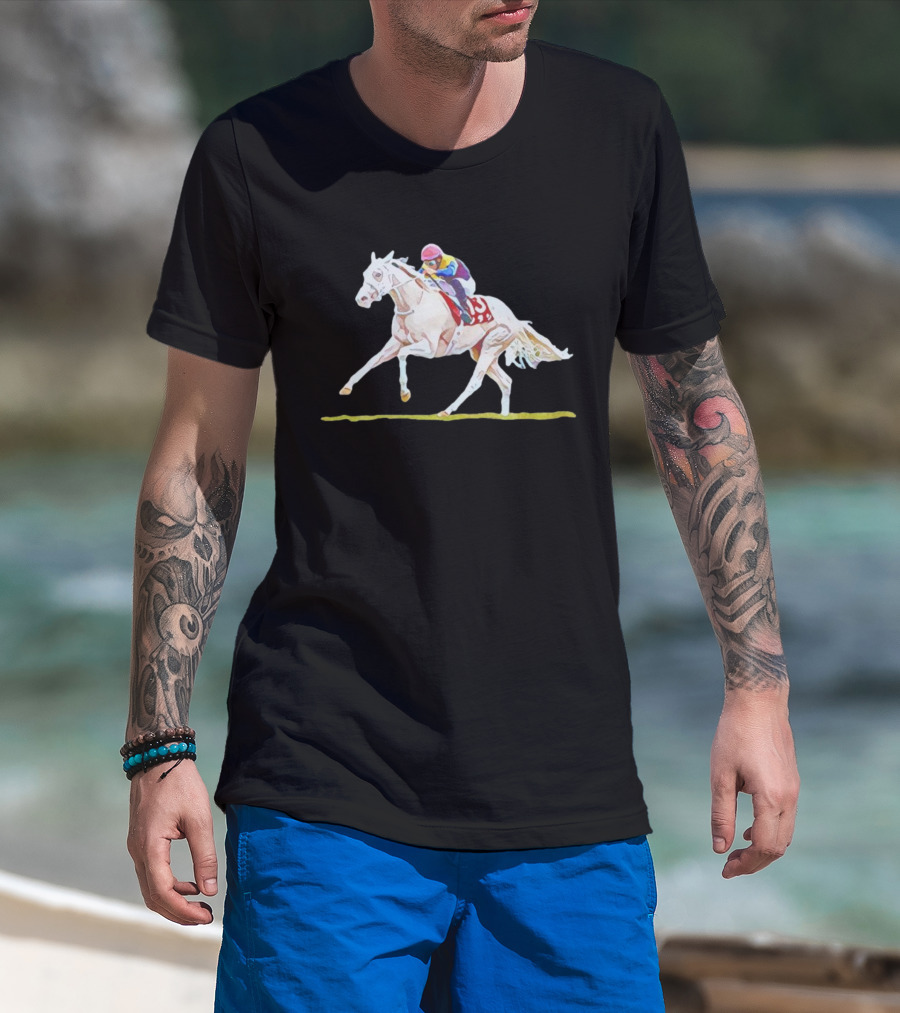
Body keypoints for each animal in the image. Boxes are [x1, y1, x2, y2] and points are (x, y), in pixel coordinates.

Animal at [341, 252, 572, 417]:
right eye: (364, 274)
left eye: (378, 274)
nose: (361, 299)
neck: (415, 304)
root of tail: (513, 318)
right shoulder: (395, 342)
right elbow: (372, 361)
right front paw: (346, 387)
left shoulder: (429, 348)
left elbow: (403, 355)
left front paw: (405, 393)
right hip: (480, 351)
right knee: (506, 381)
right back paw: (504, 416)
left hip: (492, 345)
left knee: (476, 382)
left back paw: (447, 410)